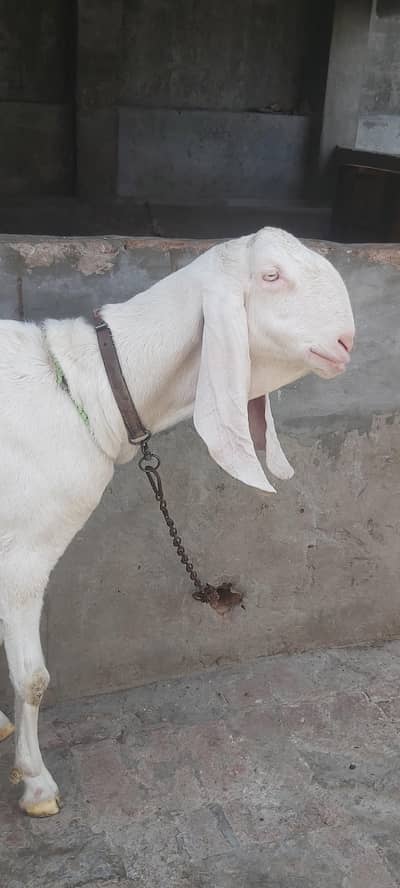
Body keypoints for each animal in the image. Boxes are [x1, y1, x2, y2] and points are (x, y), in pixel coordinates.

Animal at [0, 228, 355, 815]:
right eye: (271, 276)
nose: (346, 342)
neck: (82, 383)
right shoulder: (23, 556)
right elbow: (32, 678)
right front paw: (37, 785)